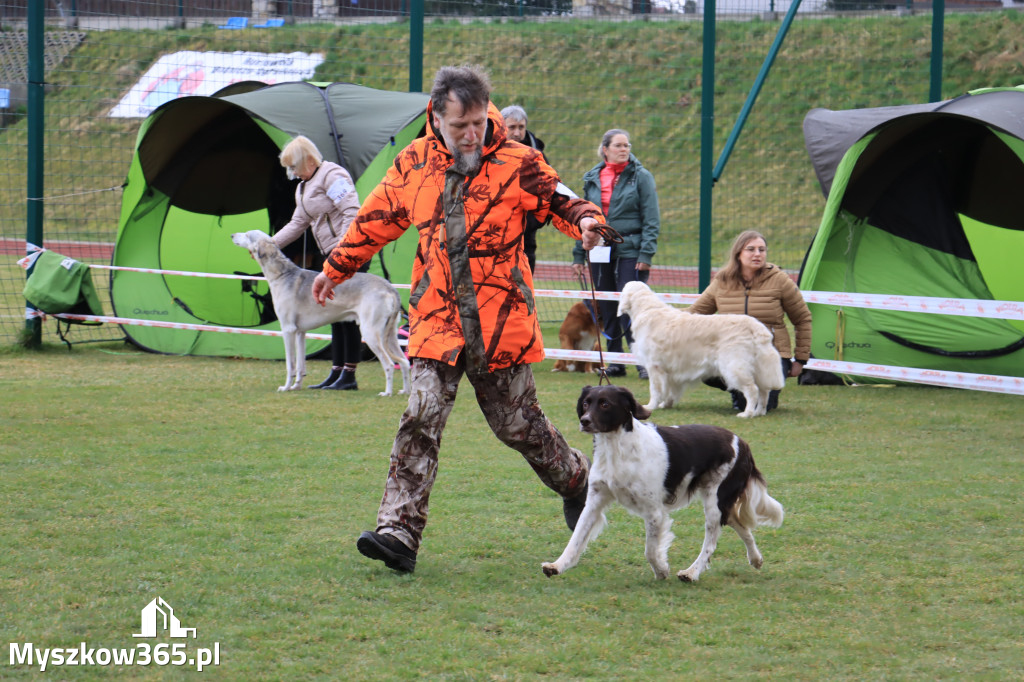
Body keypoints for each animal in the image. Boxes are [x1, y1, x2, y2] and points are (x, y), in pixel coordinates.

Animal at [232, 231, 407, 395]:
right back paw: (406, 391)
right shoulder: (300, 332)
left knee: (389, 364)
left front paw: (286, 387)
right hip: (390, 335)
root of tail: (390, 287)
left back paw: (387, 392)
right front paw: (296, 386)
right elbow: (300, 366)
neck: (283, 275)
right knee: (404, 362)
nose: (232, 235)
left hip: (370, 332)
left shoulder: (288, 330)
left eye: (247, 234)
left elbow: (291, 365)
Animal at [544, 385, 782, 581]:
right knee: (740, 524)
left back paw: (691, 572)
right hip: (721, 502)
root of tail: (741, 442)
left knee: (711, 541)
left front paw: (661, 570)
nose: (584, 420)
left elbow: (650, 549)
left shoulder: (654, 512)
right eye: (586, 403)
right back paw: (756, 559)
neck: (618, 448)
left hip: (715, 503)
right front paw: (556, 566)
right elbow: (576, 539)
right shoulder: (595, 501)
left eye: (605, 404)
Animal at [614, 278, 782, 417]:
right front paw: (666, 404)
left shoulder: (654, 366)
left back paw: (747, 413)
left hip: (733, 367)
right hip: (758, 368)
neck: (647, 310)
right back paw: (760, 412)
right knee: (764, 390)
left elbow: (655, 389)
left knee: (752, 389)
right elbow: (670, 390)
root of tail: (756, 326)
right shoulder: (670, 370)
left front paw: (650, 406)